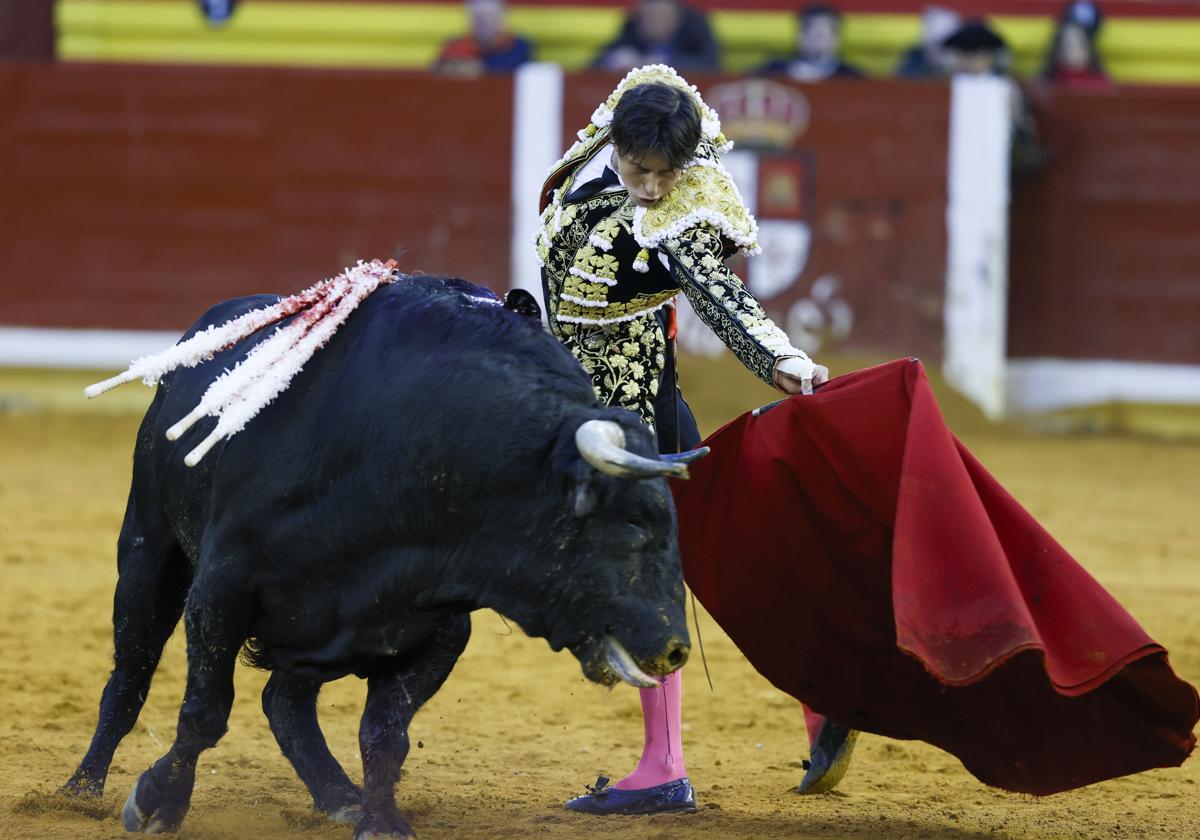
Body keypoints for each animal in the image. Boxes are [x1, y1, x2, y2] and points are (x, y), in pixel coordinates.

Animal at [60, 276, 700, 835]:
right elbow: (204, 711)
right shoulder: (221, 592)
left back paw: (337, 794)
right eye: (634, 522)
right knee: (130, 677)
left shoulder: (434, 626)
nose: (674, 648)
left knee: (284, 702)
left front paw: (380, 821)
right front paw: (156, 802)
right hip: (148, 551)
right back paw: (80, 791)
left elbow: (385, 731)